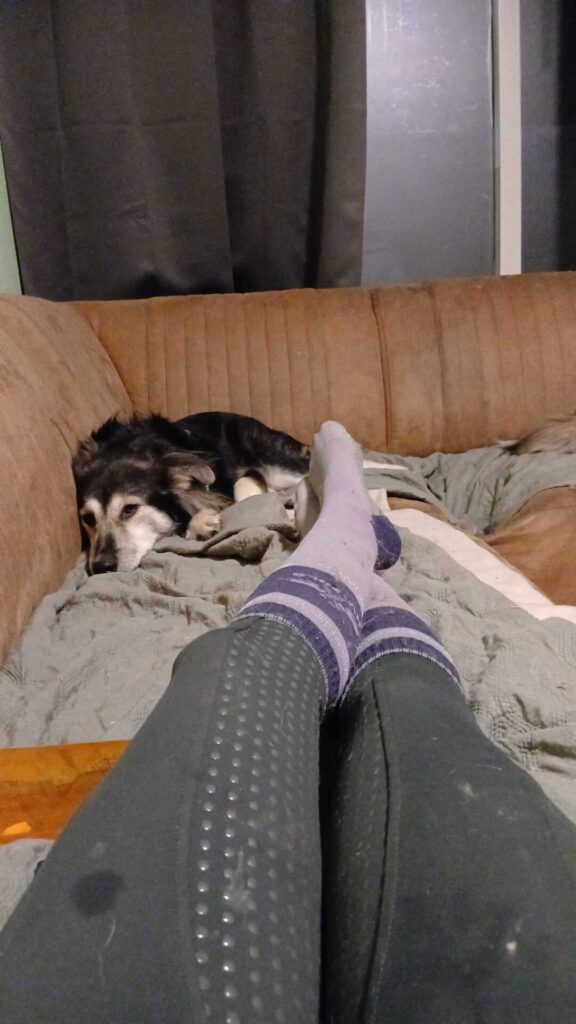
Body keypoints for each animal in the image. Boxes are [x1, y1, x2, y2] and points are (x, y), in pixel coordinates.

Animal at [73, 412, 310, 574]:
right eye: (88, 518)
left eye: (130, 509)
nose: (101, 567)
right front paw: (201, 523)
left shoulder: (245, 475)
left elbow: (243, 489)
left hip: (281, 468)